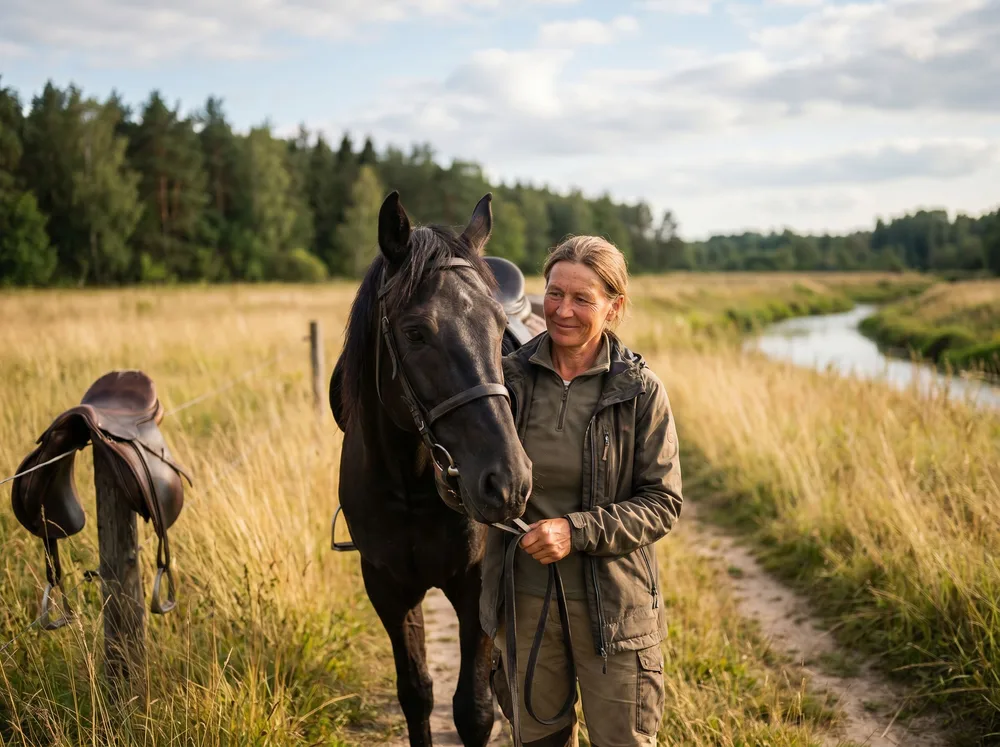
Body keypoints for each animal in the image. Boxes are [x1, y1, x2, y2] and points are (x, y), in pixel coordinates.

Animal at [329, 190, 533, 746]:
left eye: (497, 328)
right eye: (416, 332)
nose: (507, 482)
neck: (410, 484)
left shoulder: (475, 586)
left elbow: (474, 710)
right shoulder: (387, 587)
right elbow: (416, 693)